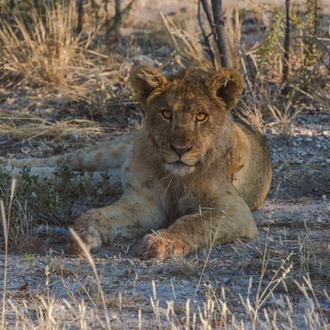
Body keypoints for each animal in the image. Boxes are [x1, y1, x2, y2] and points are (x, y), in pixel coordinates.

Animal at [1, 64, 270, 260]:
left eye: (201, 117)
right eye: (166, 114)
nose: (180, 150)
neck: (174, 175)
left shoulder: (236, 212)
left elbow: (195, 222)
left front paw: (162, 242)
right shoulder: (143, 199)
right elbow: (100, 214)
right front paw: (83, 234)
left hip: (106, 178)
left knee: (66, 177)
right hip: (107, 152)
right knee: (60, 161)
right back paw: (9, 168)